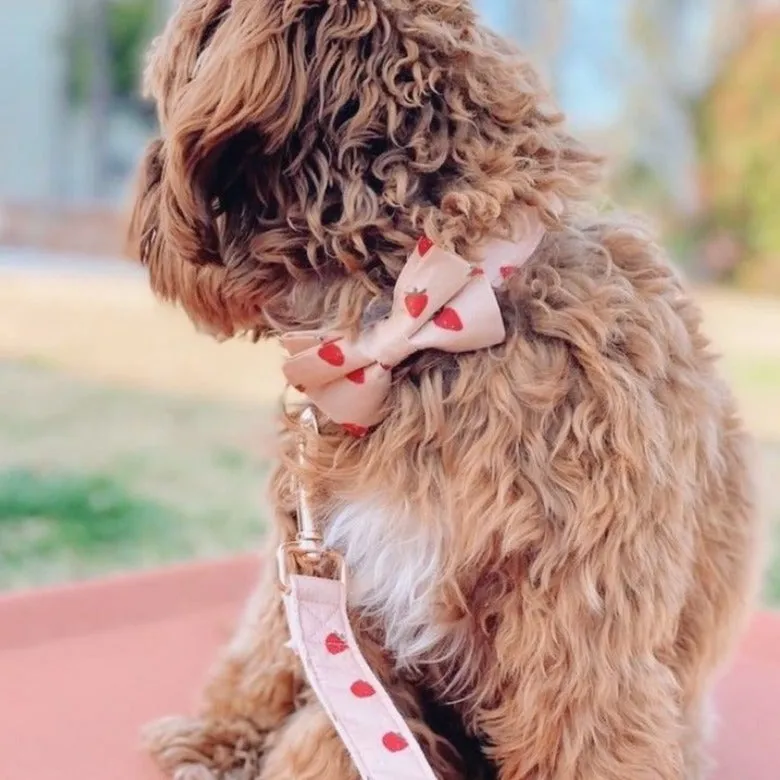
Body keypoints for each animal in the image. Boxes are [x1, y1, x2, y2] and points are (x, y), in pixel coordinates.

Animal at [128, 0, 760, 772]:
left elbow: (582, 736)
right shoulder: (335, 585)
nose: (140, 218)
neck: (421, 324)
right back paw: (214, 738)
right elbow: (318, 714)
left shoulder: (584, 627)